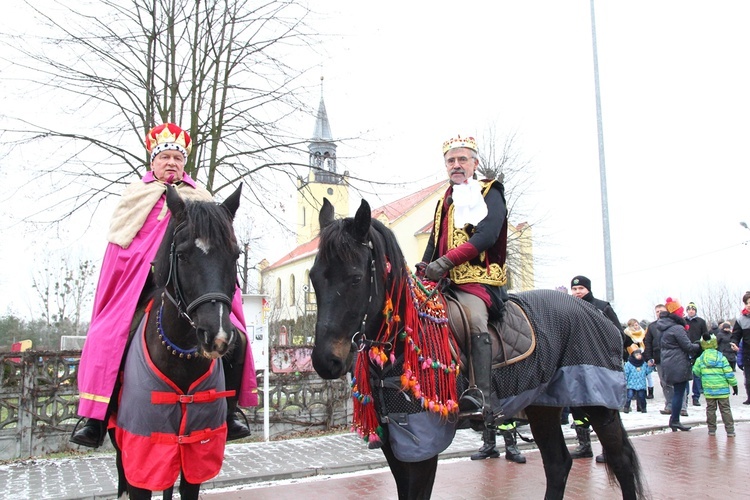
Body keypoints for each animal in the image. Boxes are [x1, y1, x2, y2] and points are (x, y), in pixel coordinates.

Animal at [110, 185, 244, 500]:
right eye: (182, 255)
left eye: (235, 255)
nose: (217, 335)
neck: (179, 357)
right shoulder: (141, 453)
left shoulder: (196, 451)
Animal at [308, 199, 648, 500]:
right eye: (313, 277)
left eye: (355, 278)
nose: (326, 361)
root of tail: (597, 313)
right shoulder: (396, 440)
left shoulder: (421, 441)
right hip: (543, 404)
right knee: (557, 463)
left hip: (598, 404)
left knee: (621, 462)